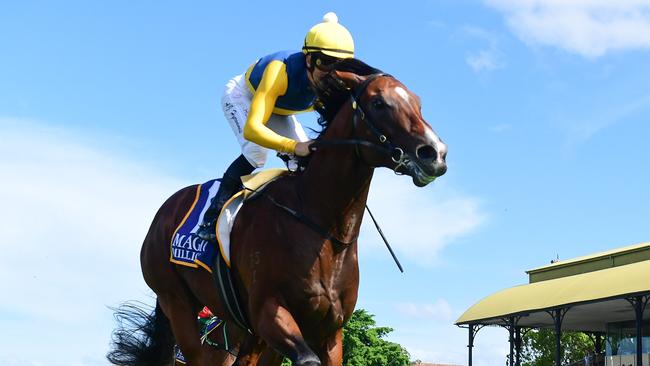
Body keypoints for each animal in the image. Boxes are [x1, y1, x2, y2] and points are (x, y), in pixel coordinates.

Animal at [109, 58, 448, 364]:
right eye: (379, 103)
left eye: (417, 103)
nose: (435, 153)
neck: (322, 224)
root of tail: (165, 211)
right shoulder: (269, 313)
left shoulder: (328, 330)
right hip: (176, 301)